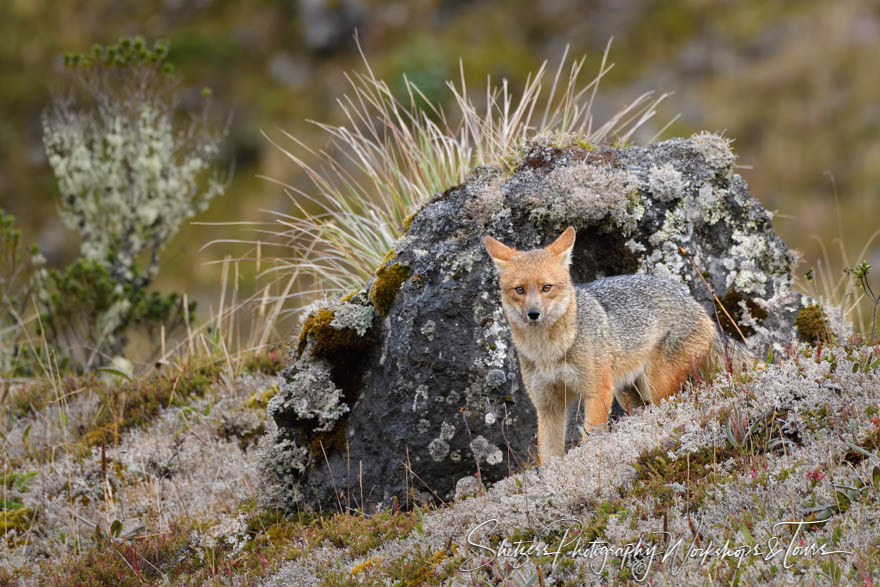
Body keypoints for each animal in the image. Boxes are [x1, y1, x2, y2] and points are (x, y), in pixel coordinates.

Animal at [484, 225, 752, 464]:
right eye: (520, 290)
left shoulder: (596, 393)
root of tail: (696, 305)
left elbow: (590, 441)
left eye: (546, 287)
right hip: (628, 395)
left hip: (655, 388)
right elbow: (549, 458)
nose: (533, 314)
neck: (549, 352)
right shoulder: (548, 405)